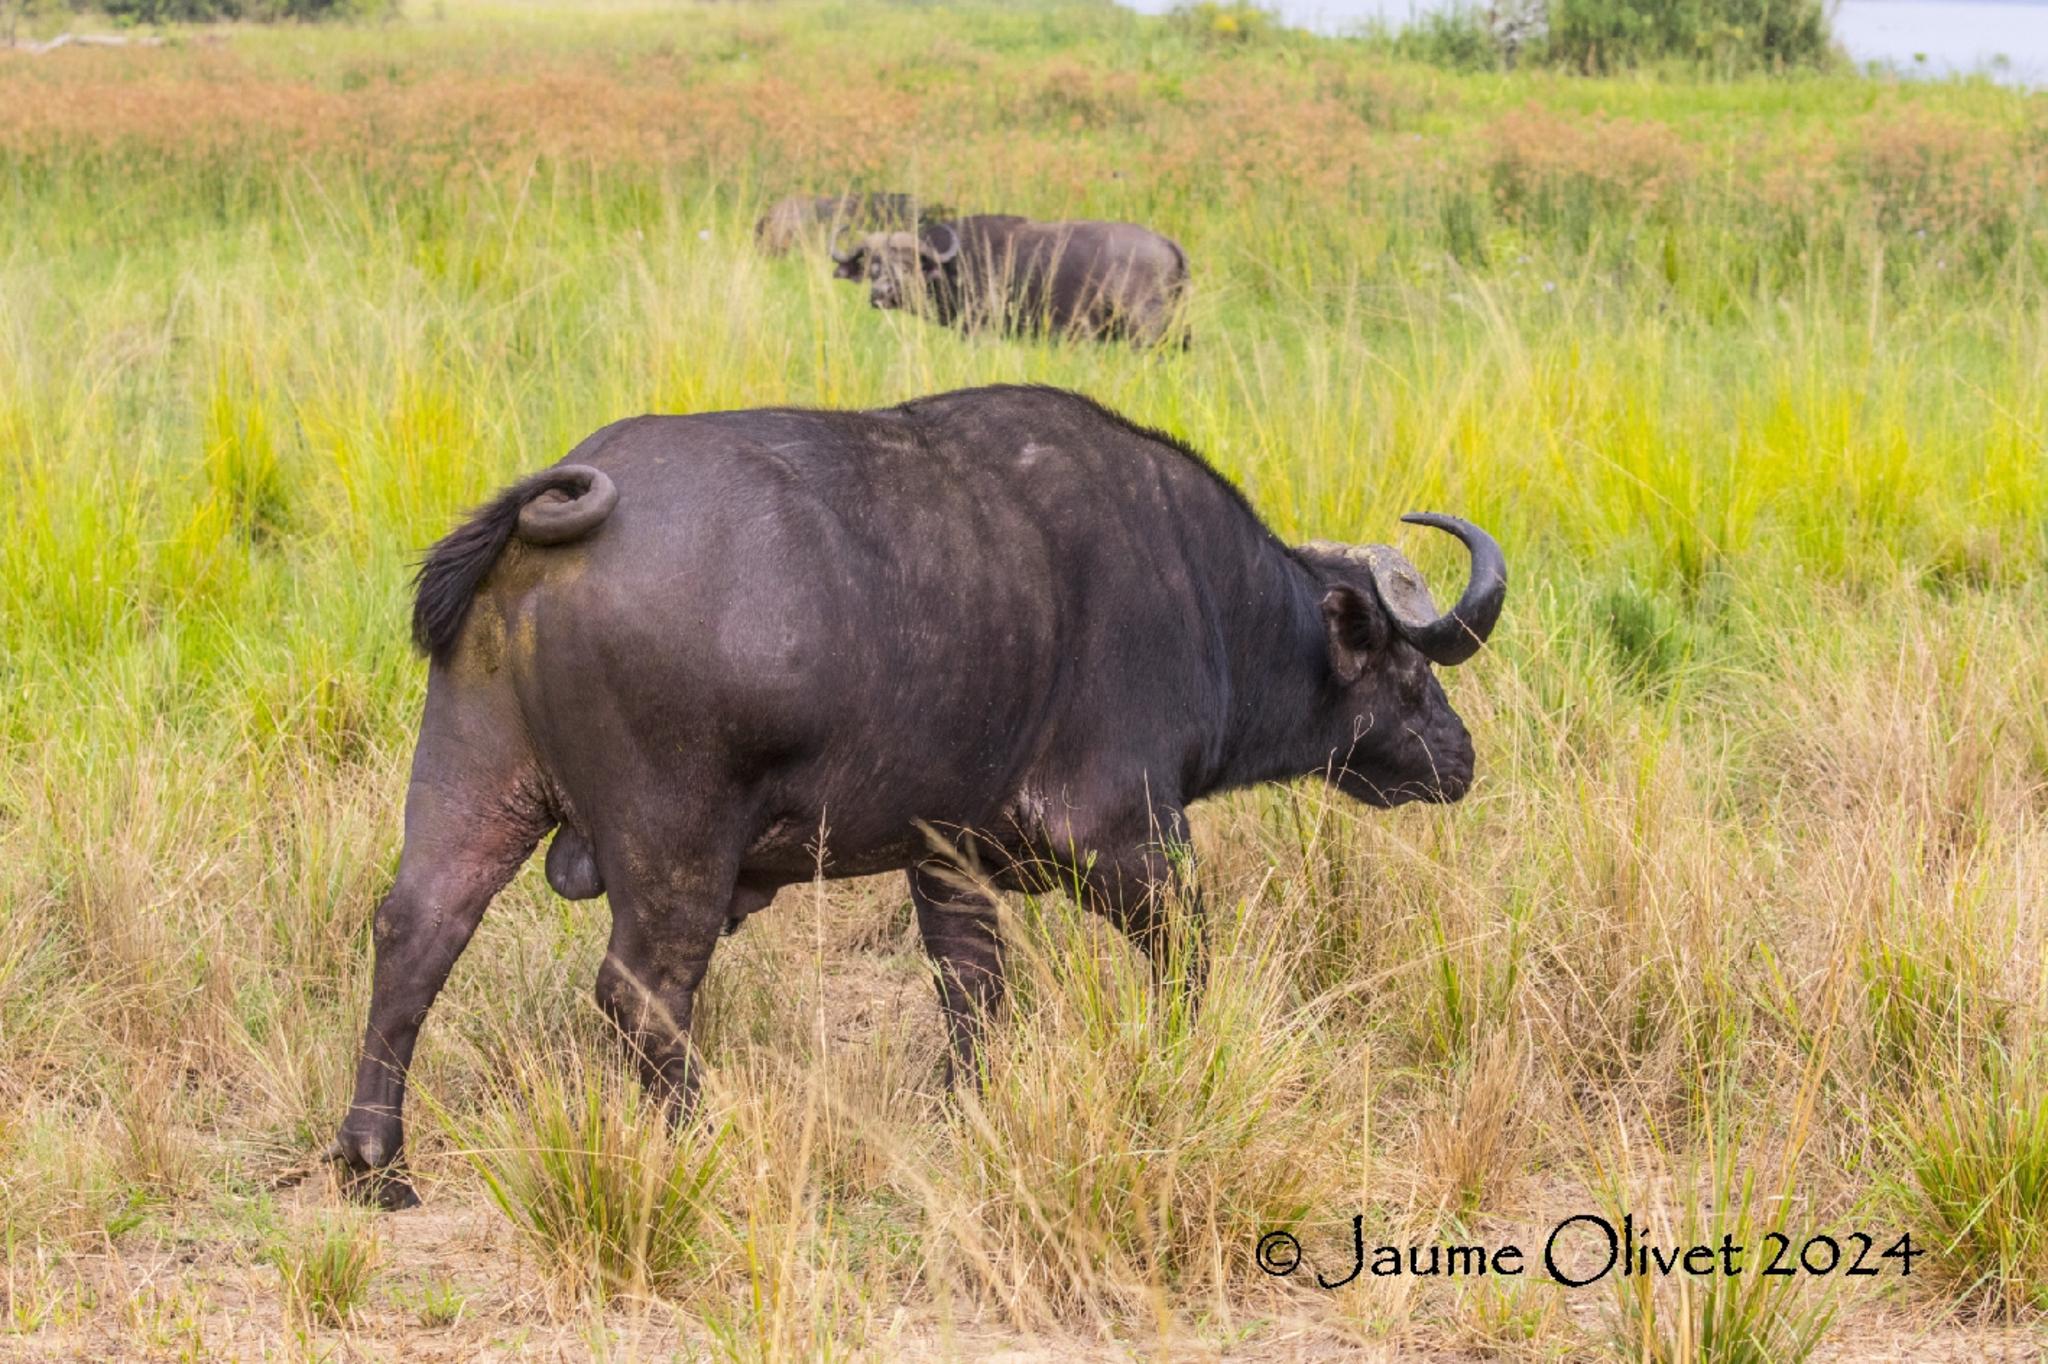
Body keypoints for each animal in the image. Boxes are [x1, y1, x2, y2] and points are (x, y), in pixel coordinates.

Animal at [323, 378, 1507, 1204]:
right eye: (1408, 669)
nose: (1459, 758)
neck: (1202, 593)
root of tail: (556, 512)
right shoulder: (1129, 836)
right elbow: (1186, 960)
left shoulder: (945, 859)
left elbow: (972, 991)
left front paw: (965, 1106)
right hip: (677, 842)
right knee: (640, 992)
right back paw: (708, 1134)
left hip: (472, 781)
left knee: (417, 932)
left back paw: (377, 1161)